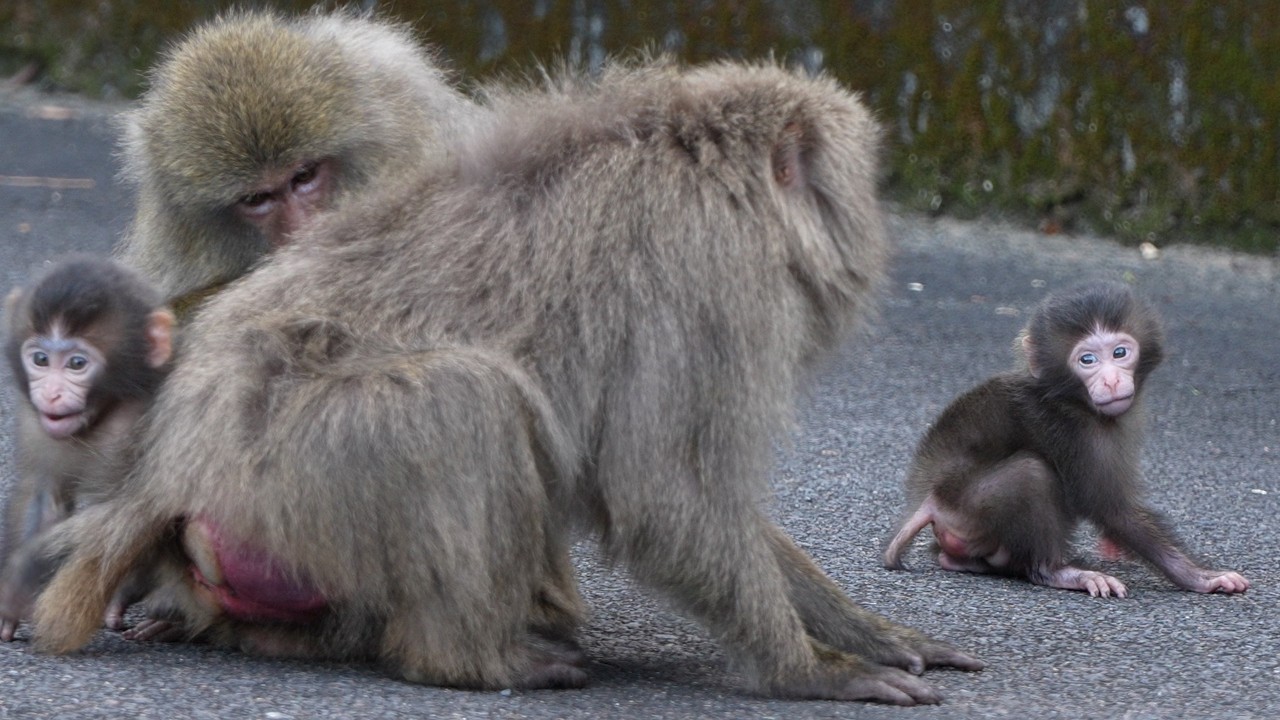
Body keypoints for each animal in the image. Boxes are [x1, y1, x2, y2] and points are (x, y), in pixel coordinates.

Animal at [0, 256, 175, 641]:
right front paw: (12, 595)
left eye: (77, 364)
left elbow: (129, 515)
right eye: (40, 359)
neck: (104, 411)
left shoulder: (138, 423)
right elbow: (46, 496)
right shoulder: (34, 422)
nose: (51, 394)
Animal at [883, 282, 1251, 598]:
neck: (1067, 395)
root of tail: (929, 501)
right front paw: (1198, 577)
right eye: (1087, 360)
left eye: (1120, 353)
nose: (1112, 381)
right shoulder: (1073, 429)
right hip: (967, 512)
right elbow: (1111, 509)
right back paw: (1057, 572)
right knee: (1031, 473)